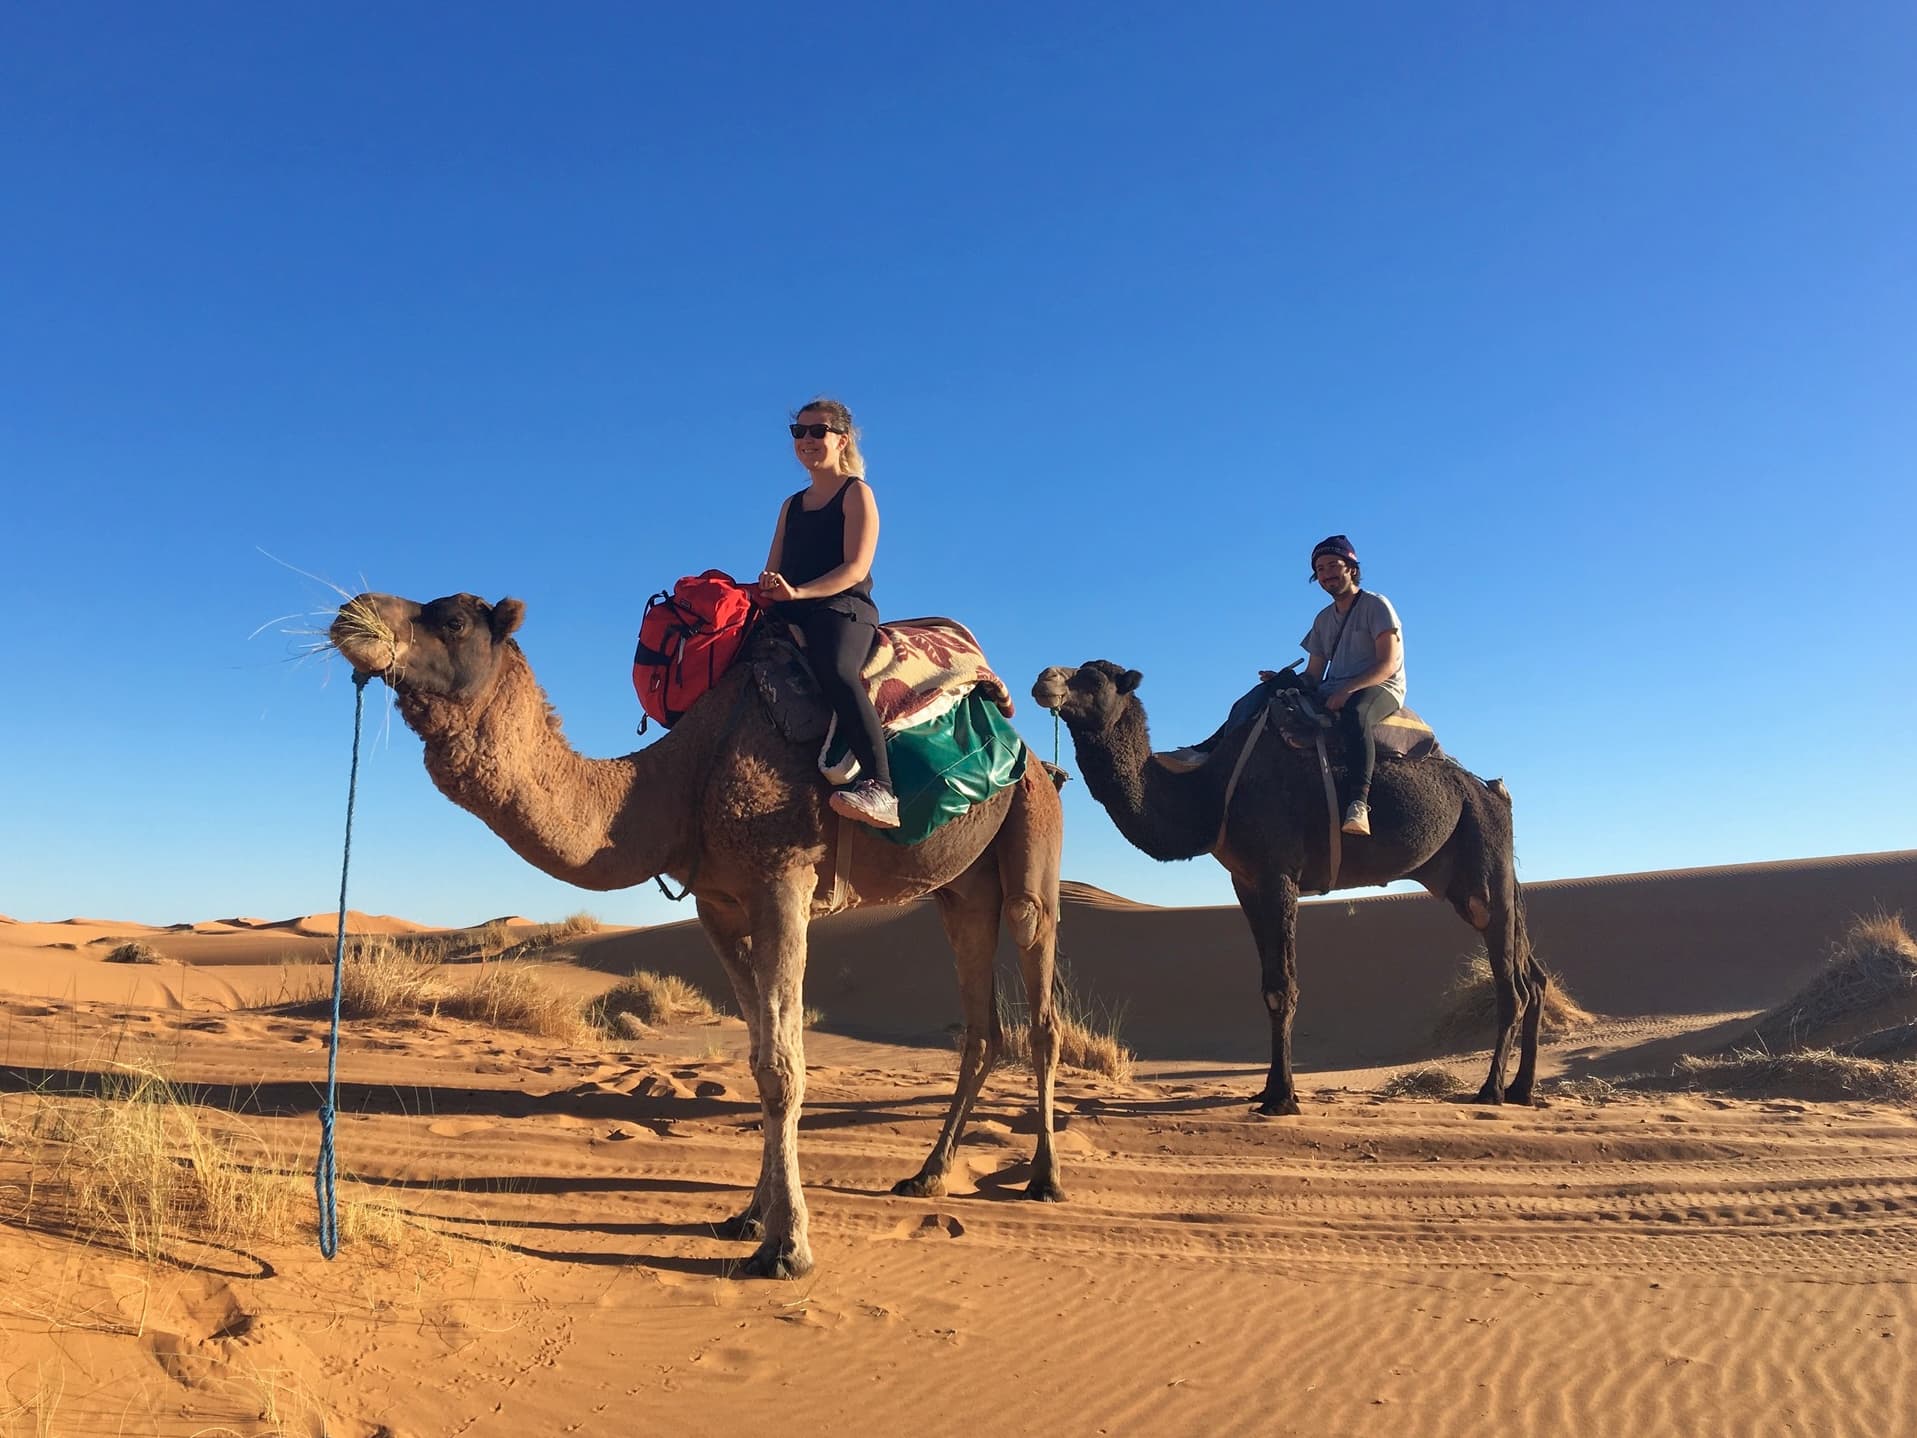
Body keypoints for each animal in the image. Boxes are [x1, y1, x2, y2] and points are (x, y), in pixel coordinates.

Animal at [327, 590, 1065, 1280]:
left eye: (451, 620)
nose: (349, 613)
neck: (681, 781)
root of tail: (1030, 755)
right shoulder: (718, 904)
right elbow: (760, 1057)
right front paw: (750, 1217)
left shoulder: (782, 878)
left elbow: (783, 1065)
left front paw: (787, 1248)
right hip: (960, 892)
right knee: (981, 1026)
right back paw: (927, 1174)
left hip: (1033, 839)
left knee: (1040, 1000)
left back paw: (1043, 1179)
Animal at [1035, 663, 1541, 1112]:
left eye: (1092, 678)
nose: (1044, 679)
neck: (1210, 788)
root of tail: (1494, 791)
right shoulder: (1246, 881)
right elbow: (1267, 985)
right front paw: (1267, 1090)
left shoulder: (1279, 871)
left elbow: (1283, 987)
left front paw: (1281, 1098)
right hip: (1460, 876)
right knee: (1532, 978)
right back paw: (1521, 1090)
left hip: (1483, 863)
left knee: (1512, 983)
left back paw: (1492, 1091)